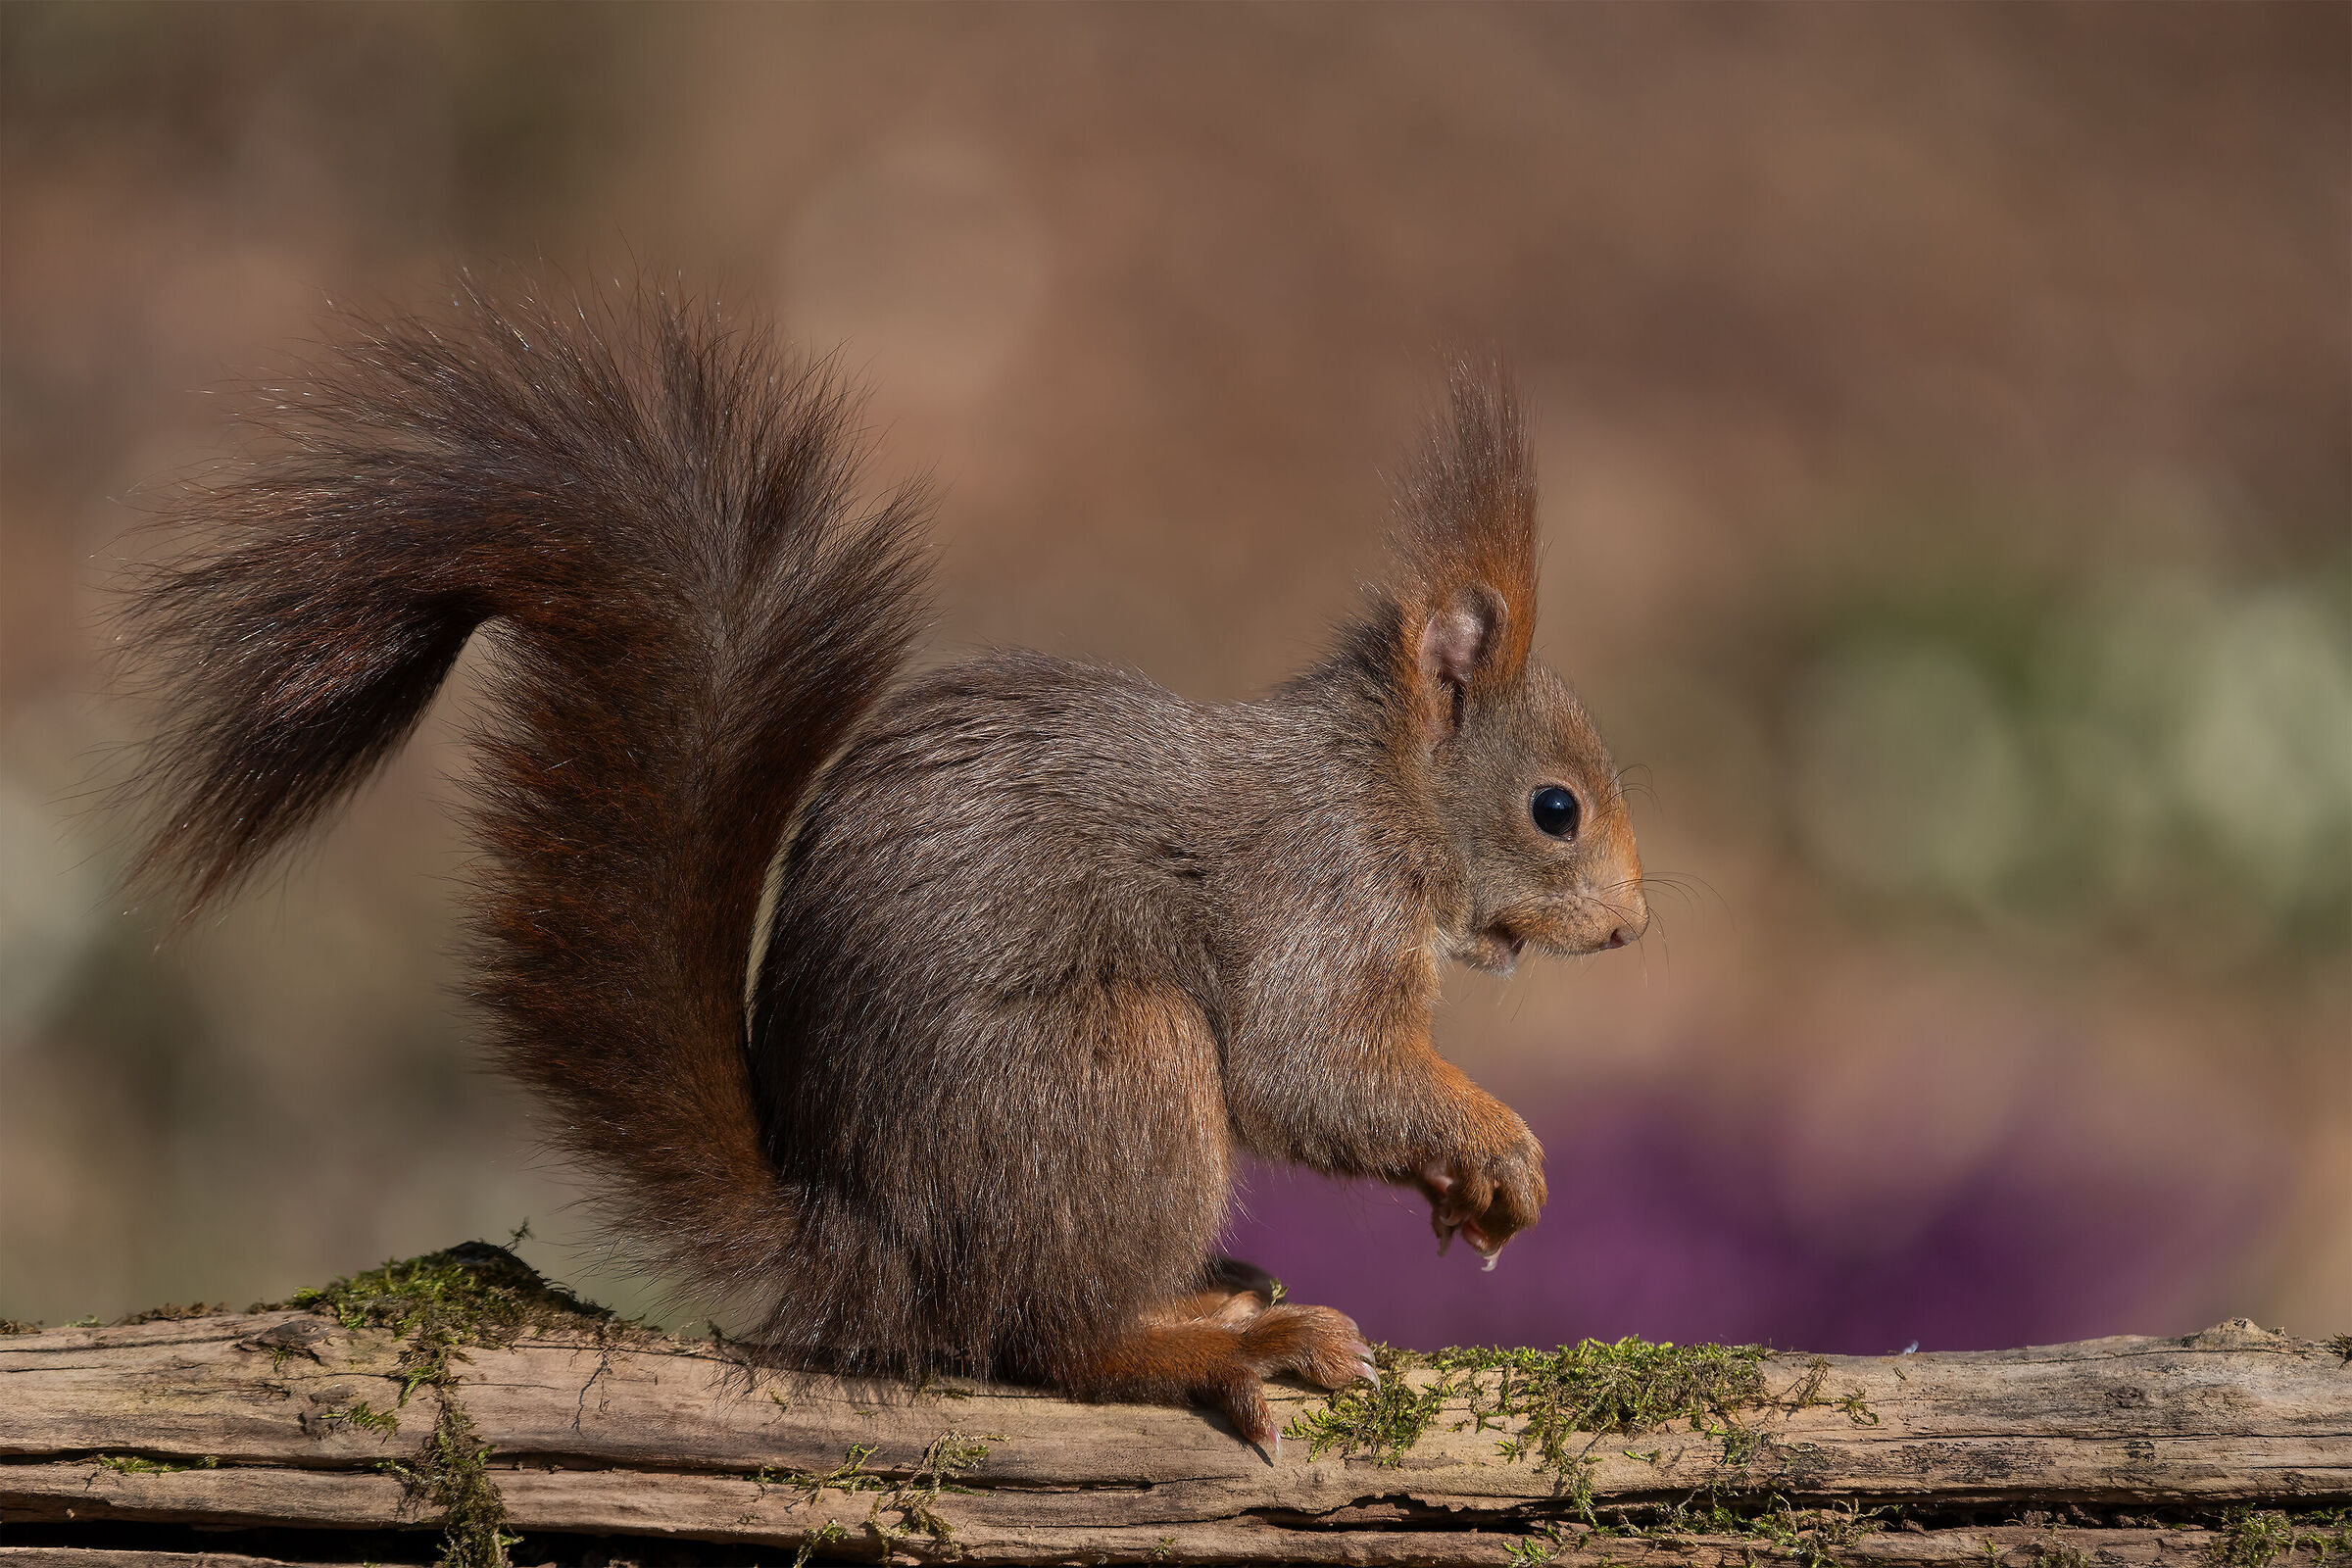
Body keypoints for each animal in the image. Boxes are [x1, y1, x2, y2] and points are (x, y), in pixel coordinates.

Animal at [120, 284, 1648, 1447]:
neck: (1378, 792)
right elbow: (1313, 1067)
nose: (1636, 929)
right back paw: (1219, 1343)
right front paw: (1497, 1148)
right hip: (1117, 1068)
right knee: (1046, 1340)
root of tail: (880, 1255)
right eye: (1556, 808)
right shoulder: (1316, 904)